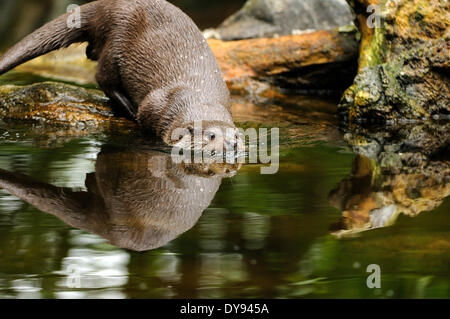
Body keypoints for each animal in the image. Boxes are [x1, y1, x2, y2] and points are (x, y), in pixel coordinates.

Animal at [0, 0, 239, 148]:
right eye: (211, 135)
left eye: (236, 135)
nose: (232, 144)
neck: (198, 94)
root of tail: (108, 6)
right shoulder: (156, 103)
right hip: (117, 41)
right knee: (103, 77)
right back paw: (128, 107)